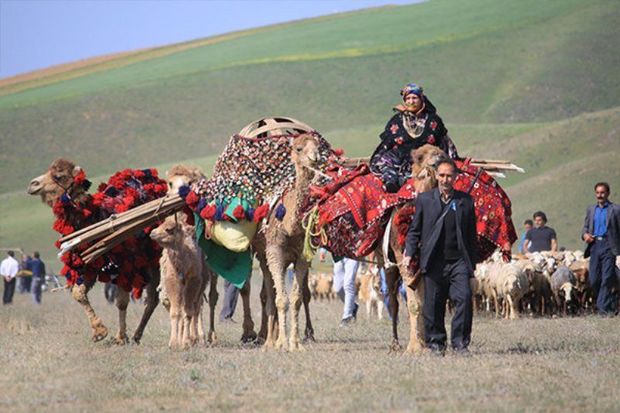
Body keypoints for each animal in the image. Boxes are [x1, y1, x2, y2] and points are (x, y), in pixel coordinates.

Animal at [252, 133, 320, 350]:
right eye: (299, 148)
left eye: (317, 146)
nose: (315, 157)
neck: (289, 225)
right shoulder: (274, 251)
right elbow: (281, 299)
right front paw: (281, 343)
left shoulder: (302, 256)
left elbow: (297, 298)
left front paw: (295, 343)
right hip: (263, 256)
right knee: (269, 294)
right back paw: (269, 340)